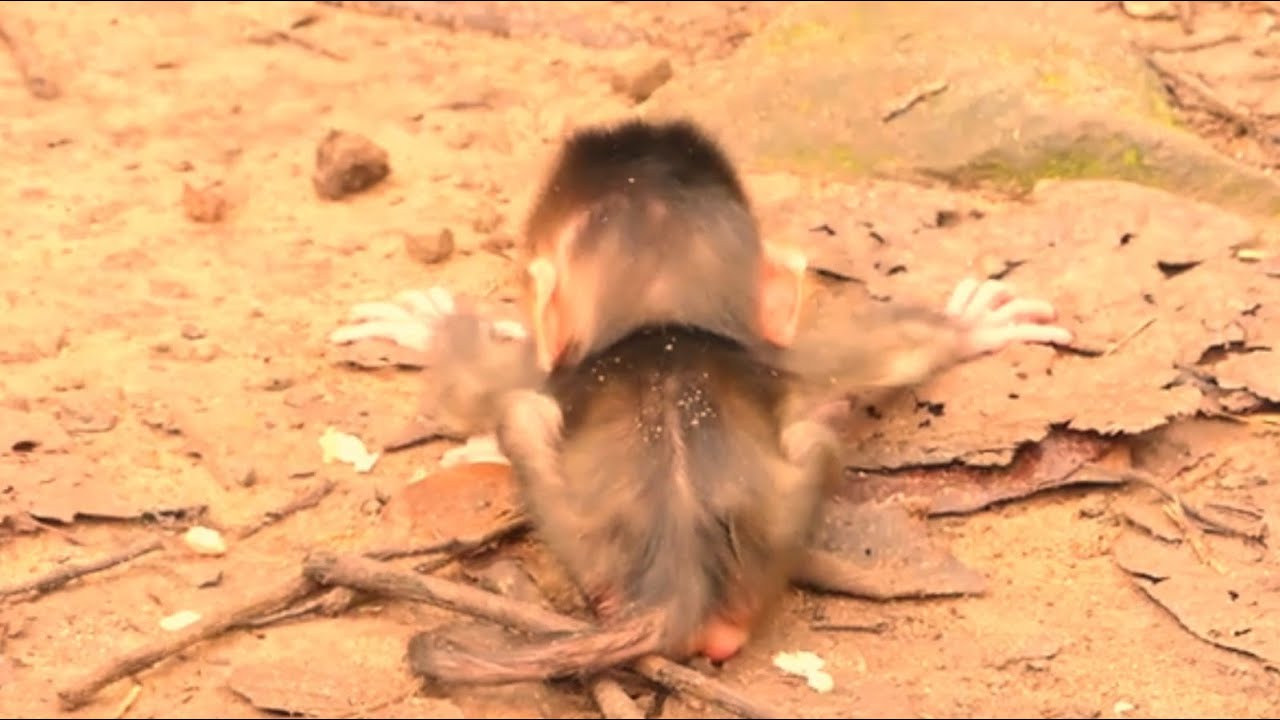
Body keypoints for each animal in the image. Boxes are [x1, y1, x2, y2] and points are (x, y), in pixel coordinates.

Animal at [329, 118, 1073, 684]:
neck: (666, 320)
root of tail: (676, 592)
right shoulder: (777, 356)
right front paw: (969, 328)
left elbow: (476, 387)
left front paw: (431, 330)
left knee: (522, 417)